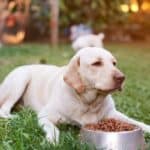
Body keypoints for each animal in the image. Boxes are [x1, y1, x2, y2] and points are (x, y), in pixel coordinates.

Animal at [0, 47, 150, 143]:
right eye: (96, 63)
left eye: (114, 63)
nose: (122, 78)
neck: (88, 102)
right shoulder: (45, 116)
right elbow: (53, 129)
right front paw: (52, 139)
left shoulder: (112, 114)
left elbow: (135, 121)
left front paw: (147, 127)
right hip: (21, 79)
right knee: (4, 109)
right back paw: (15, 117)